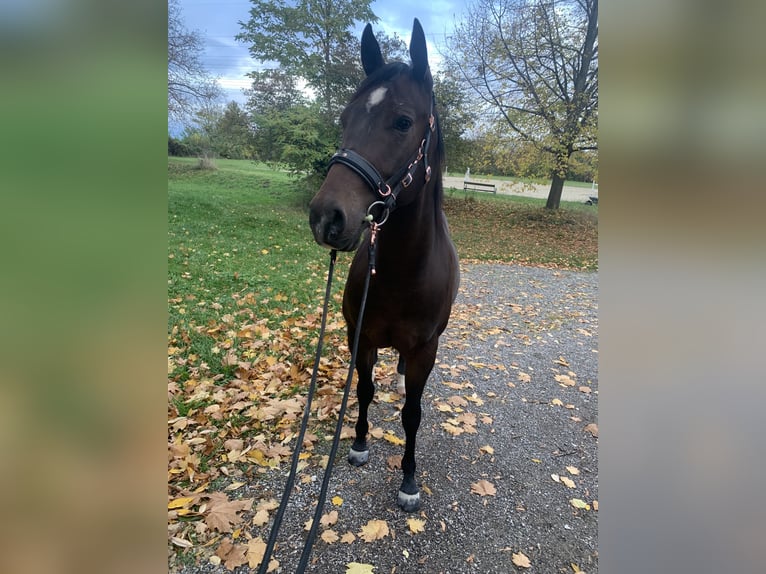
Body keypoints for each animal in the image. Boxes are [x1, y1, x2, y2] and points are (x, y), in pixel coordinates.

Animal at [308, 19, 460, 513]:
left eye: (403, 121)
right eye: (345, 119)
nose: (327, 218)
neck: (400, 272)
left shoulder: (425, 351)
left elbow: (413, 413)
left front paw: (409, 480)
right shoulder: (362, 337)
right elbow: (363, 391)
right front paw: (358, 444)